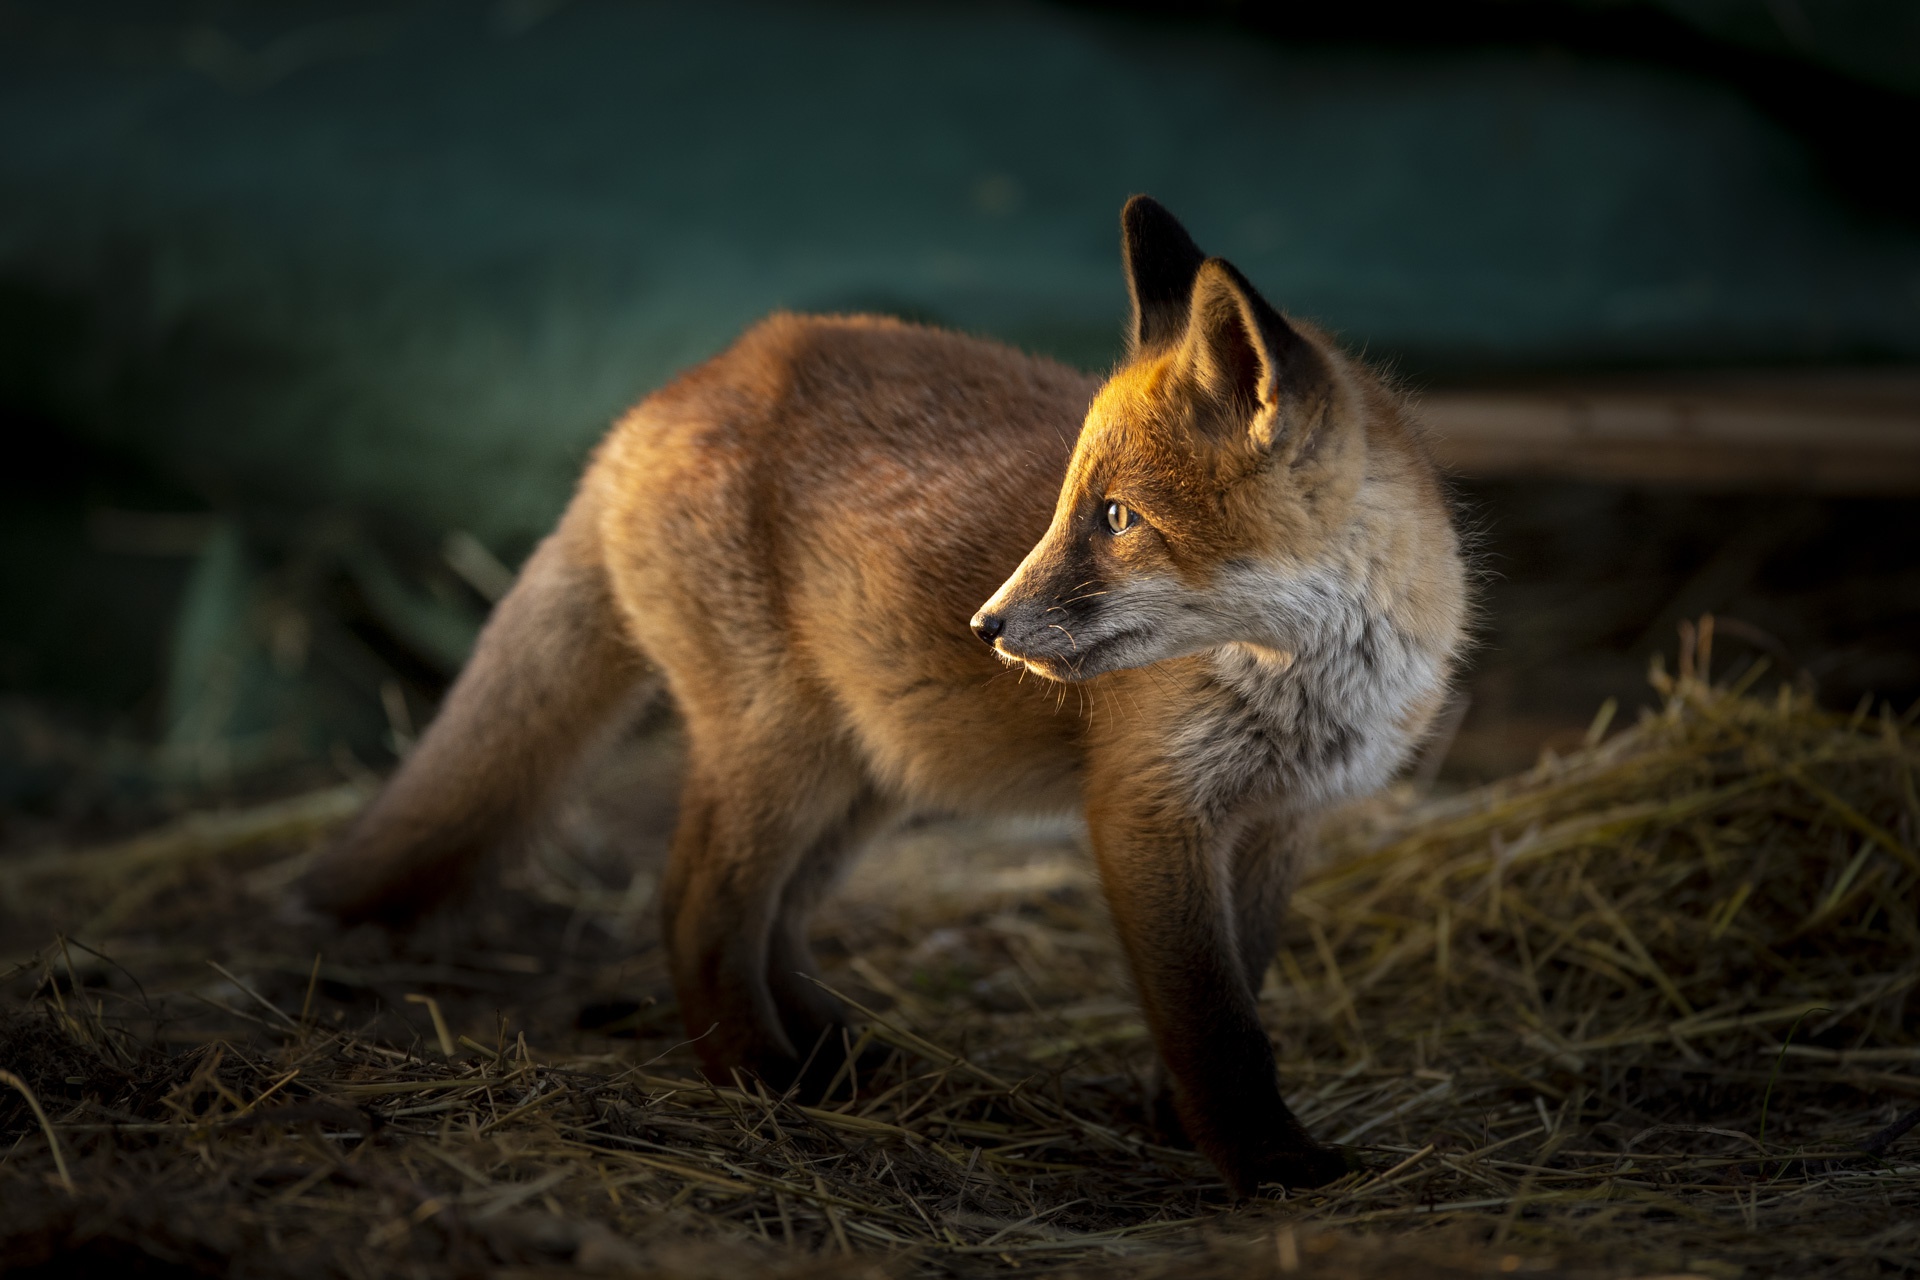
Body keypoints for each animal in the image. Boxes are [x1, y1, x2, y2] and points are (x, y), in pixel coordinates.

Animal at [299, 195, 1466, 1197]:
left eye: (1118, 517)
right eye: (1070, 506)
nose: (987, 627)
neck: (1317, 674)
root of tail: (665, 394)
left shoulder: (1279, 820)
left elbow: (1240, 991)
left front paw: (1185, 1125)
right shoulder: (1149, 811)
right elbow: (1212, 1021)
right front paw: (1265, 1164)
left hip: (867, 774)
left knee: (776, 918)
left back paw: (835, 1055)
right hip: (782, 752)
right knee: (696, 906)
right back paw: (761, 1078)